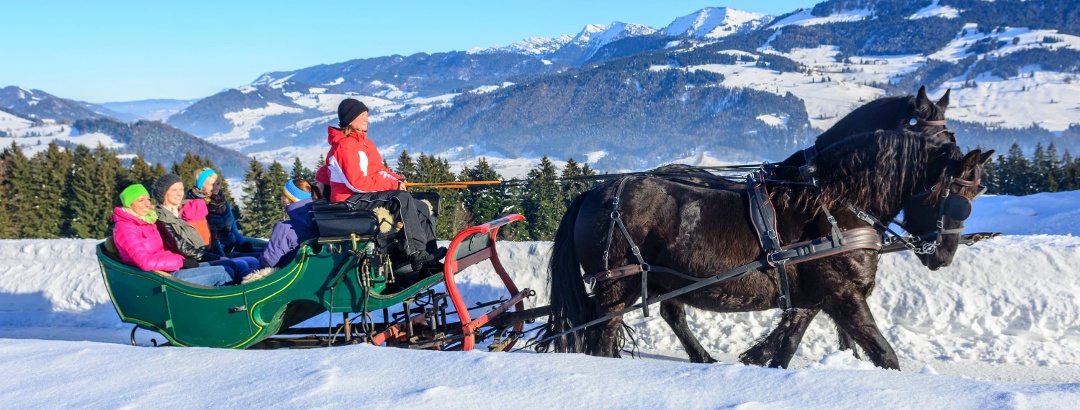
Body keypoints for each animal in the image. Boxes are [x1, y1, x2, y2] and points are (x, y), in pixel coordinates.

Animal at [544, 129, 989, 369]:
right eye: (957, 200)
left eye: (977, 195)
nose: (943, 256)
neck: (834, 207)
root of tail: (596, 192)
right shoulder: (845, 296)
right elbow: (884, 353)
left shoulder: (812, 299)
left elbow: (786, 346)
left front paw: (759, 362)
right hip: (617, 284)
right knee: (603, 334)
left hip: (658, 280)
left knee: (665, 315)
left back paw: (702, 357)